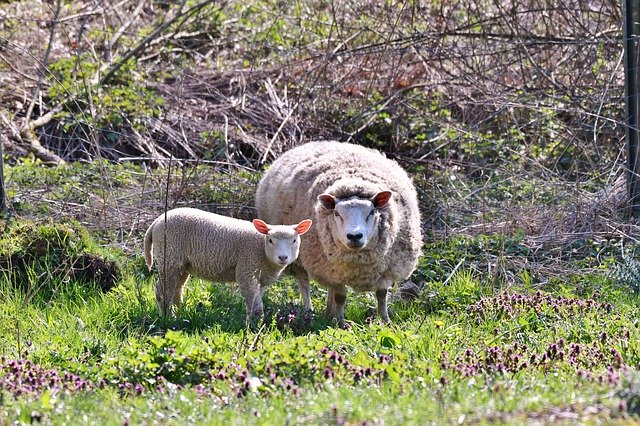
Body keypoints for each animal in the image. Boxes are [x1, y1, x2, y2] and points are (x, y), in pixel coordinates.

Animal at [146, 208, 316, 322]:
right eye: (270, 240)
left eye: (294, 240)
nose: (283, 257)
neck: (262, 251)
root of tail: (156, 222)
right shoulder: (247, 269)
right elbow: (253, 302)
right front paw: (251, 325)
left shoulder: (262, 279)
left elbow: (257, 302)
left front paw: (256, 321)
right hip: (169, 257)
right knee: (163, 291)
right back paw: (168, 316)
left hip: (181, 264)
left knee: (177, 289)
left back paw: (180, 312)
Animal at [252, 141, 422, 324]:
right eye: (337, 214)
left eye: (371, 212)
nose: (354, 236)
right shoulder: (329, 269)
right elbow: (341, 297)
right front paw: (340, 323)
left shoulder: (387, 268)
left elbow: (381, 295)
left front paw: (385, 321)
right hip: (300, 255)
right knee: (304, 281)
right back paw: (309, 310)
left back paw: (328, 312)